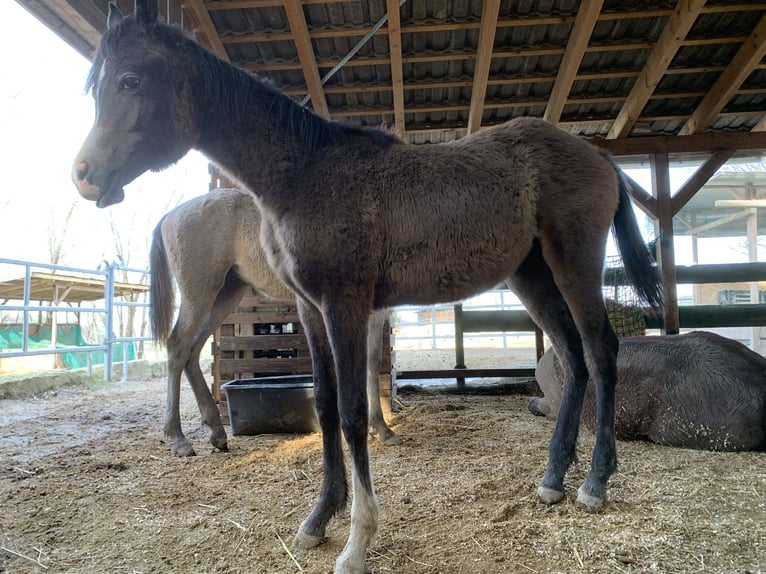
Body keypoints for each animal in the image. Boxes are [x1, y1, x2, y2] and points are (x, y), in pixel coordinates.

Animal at [151, 189, 402, 460]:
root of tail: (171, 214)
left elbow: (372, 362)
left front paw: (380, 428)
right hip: (199, 294)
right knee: (178, 347)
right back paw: (178, 438)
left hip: (225, 295)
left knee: (192, 352)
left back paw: (217, 433)